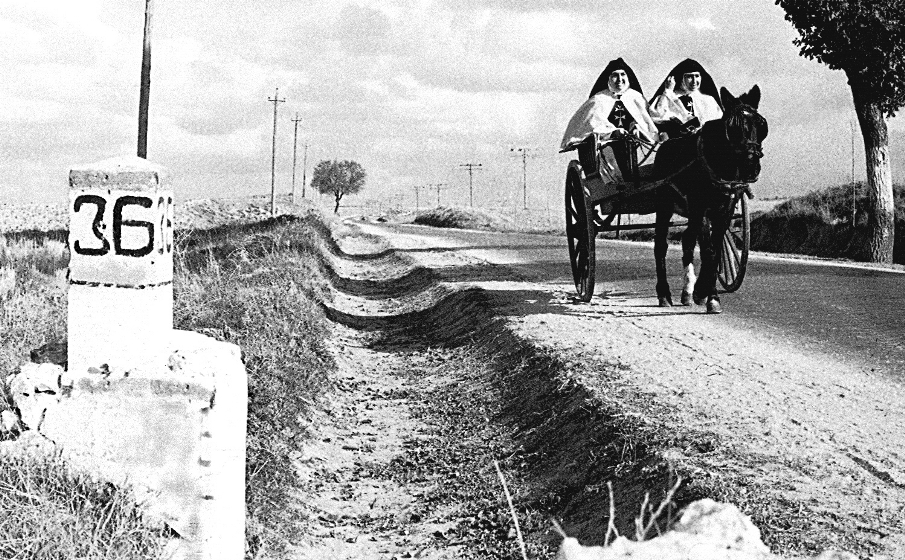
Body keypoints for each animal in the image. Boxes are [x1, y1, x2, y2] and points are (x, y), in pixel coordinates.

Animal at [652, 87, 768, 316]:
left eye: (761, 124)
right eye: (732, 127)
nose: (750, 166)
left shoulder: (725, 208)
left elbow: (716, 250)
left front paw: (708, 295)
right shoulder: (701, 208)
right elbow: (709, 250)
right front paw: (704, 292)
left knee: (688, 240)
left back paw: (687, 291)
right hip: (664, 206)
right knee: (661, 245)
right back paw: (664, 294)